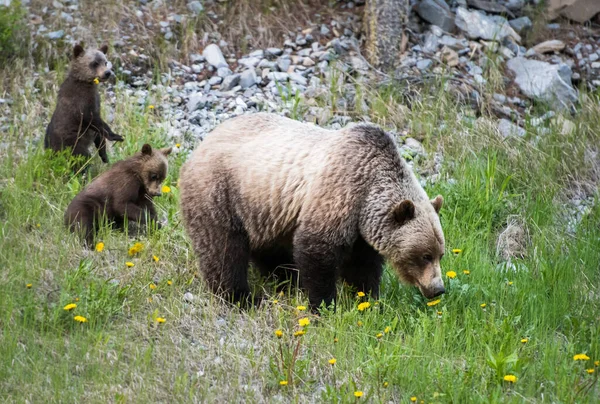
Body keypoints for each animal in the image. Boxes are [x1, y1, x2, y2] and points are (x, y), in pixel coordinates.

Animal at [178, 112, 446, 310]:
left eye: (440, 254)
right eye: (425, 255)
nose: (438, 289)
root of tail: (199, 146)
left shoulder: (363, 227)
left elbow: (362, 264)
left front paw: (366, 298)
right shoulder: (338, 194)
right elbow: (318, 250)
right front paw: (324, 304)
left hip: (264, 210)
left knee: (270, 250)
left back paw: (286, 280)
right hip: (222, 192)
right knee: (223, 249)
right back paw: (242, 297)